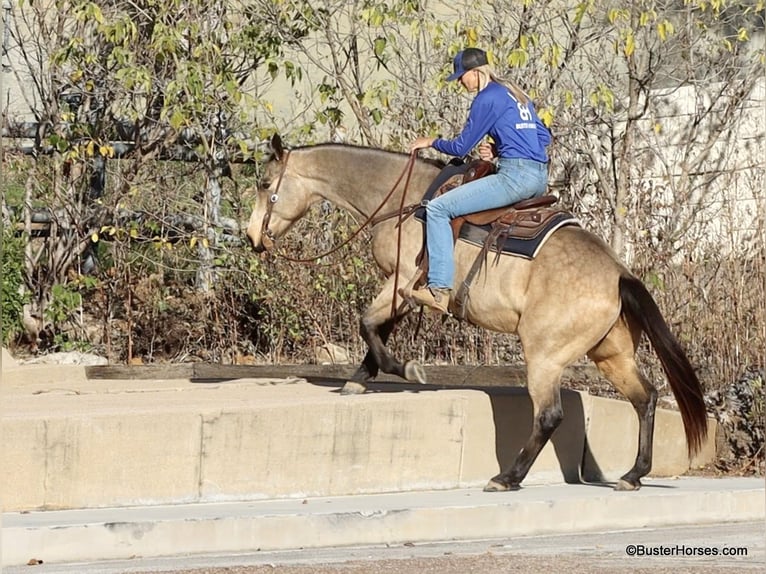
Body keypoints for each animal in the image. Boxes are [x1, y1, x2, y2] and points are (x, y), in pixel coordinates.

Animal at [246, 134, 708, 492]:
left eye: (265, 183)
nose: (252, 236)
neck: (405, 202)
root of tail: (619, 276)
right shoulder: (401, 288)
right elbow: (377, 328)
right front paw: (361, 379)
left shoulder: (401, 281)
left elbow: (367, 323)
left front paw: (404, 368)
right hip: (611, 355)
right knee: (646, 398)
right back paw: (633, 474)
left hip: (545, 356)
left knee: (549, 416)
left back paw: (507, 478)